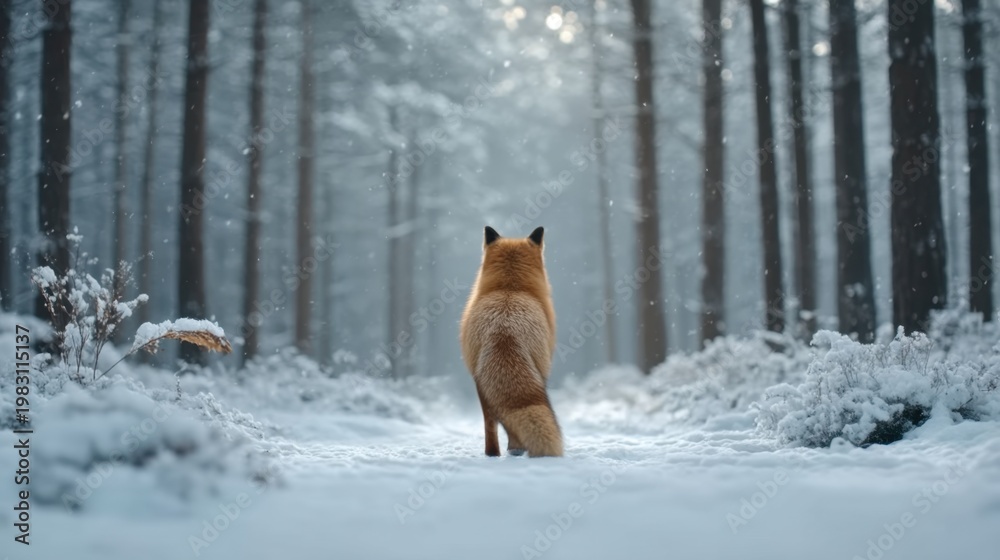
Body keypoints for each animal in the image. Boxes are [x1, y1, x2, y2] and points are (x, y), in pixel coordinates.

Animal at [460, 226, 563, 458]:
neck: (510, 288)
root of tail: (505, 328)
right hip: (538, 373)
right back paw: (516, 450)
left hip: (481, 386)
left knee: (491, 423)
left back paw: (493, 454)